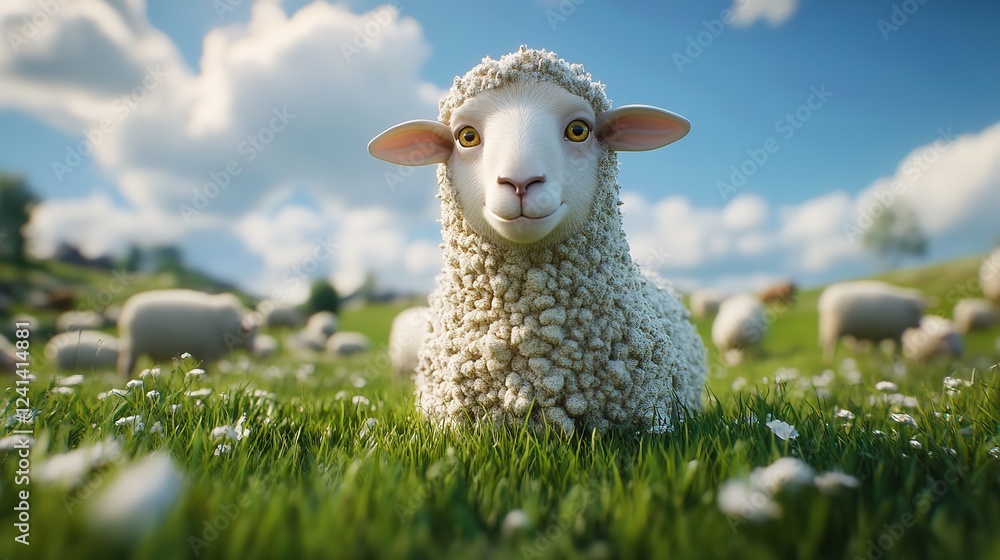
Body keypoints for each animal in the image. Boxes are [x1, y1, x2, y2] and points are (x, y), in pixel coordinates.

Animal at [117, 289, 256, 377]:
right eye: (249, 334)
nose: (255, 351)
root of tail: (127, 312)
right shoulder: (206, 352)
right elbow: (205, 370)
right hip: (134, 346)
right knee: (126, 365)